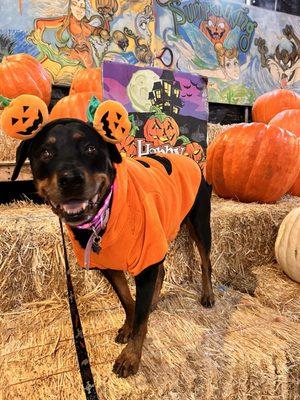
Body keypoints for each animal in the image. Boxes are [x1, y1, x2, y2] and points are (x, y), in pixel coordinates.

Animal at [8, 105, 213, 376]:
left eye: (90, 148)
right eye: (45, 152)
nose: (71, 179)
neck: (104, 215)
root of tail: (191, 160)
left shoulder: (146, 258)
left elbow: (141, 319)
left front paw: (131, 356)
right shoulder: (110, 266)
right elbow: (128, 301)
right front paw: (130, 324)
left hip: (199, 223)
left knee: (205, 262)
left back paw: (208, 295)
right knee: (162, 270)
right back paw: (154, 301)